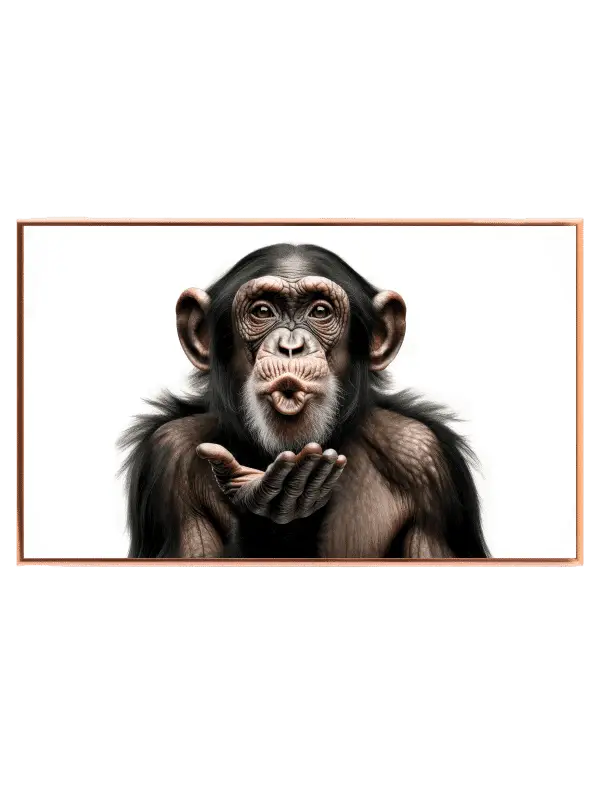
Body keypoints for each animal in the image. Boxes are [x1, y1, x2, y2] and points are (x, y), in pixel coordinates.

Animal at [119, 243, 489, 559]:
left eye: (320, 311)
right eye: (263, 311)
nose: (291, 347)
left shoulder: (427, 462)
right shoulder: (167, 456)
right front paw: (270, 515)